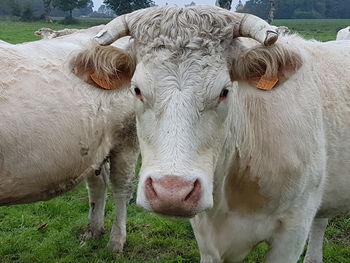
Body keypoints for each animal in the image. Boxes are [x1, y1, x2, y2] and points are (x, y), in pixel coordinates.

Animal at [0, 25, 139, 254]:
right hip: (91, 147)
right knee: (98, 184)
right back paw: (93, 232)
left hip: (127, 138)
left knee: (122, 189)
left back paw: (116, 242)